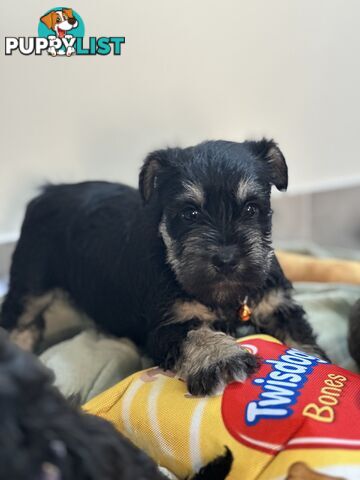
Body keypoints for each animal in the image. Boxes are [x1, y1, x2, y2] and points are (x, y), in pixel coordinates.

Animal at [0, 140, 324, 398]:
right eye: (190, 213)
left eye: (251, 208)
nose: (226, 259)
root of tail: (47, 192)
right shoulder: (167, 326)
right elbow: (196, 333)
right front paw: (221, 359)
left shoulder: (278, 307)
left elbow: (299, 338)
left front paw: (312, 362)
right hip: (31, 285)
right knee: (19, 321)